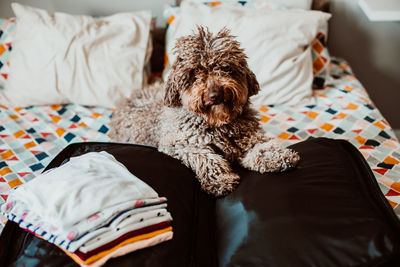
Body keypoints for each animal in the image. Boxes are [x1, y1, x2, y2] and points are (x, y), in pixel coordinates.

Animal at [109, 27, 300, 198]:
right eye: (196, 71)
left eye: (226, 68)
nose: (215, 94)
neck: (217, 123)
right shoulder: (180, 145)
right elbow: (207, 158)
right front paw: (220, 180)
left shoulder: (249, 137)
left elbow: (261, 147)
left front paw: (277, 156)